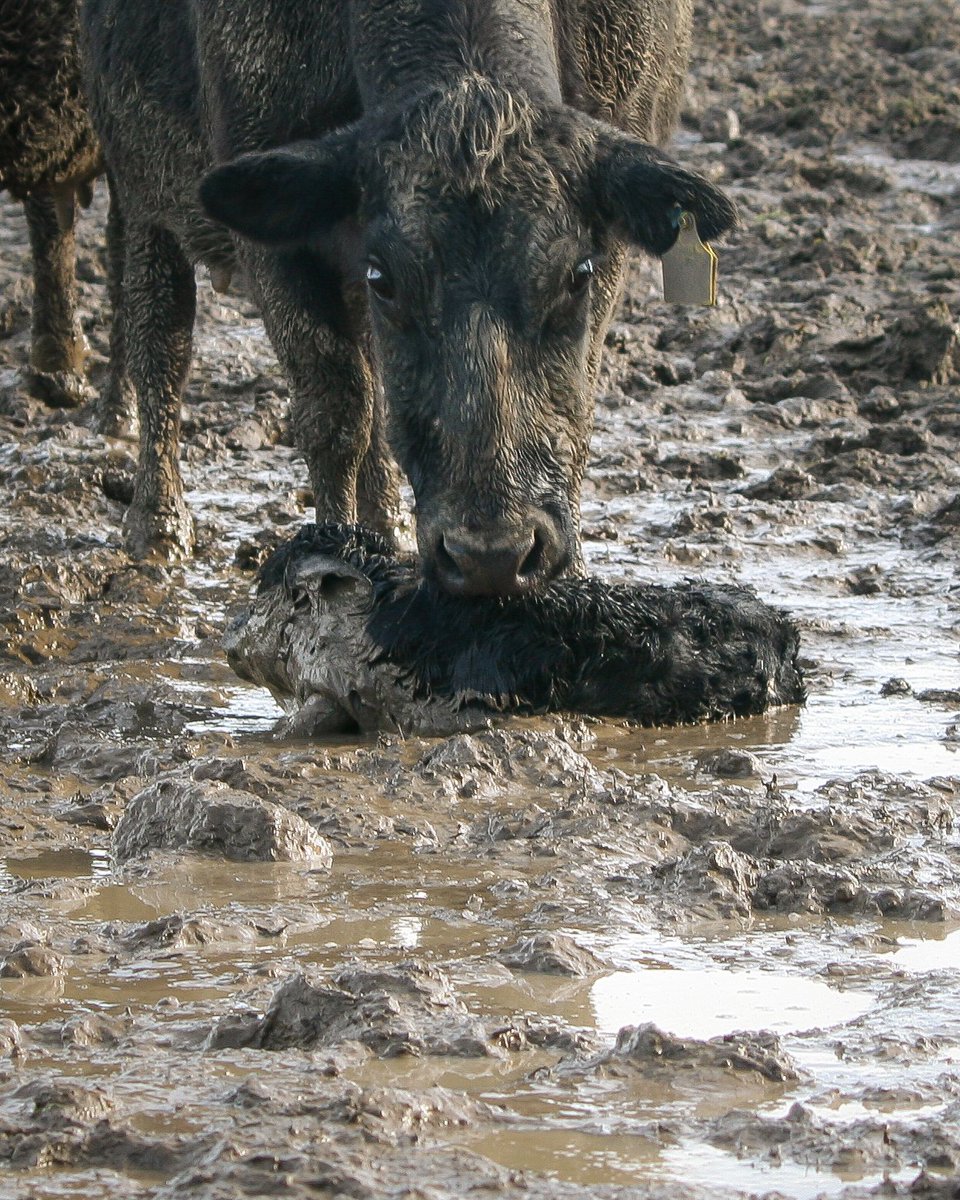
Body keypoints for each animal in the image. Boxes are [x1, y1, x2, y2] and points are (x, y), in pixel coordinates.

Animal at [80, 0, 735, 591]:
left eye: (577, 274)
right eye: (386, 279)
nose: (491, 556)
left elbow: (577, 399)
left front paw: (568, 571)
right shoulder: (276, 237)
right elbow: (334, 407)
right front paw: (331, 553)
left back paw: (388, 526)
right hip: (136, 184)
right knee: (161, 339)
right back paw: (158, 526)